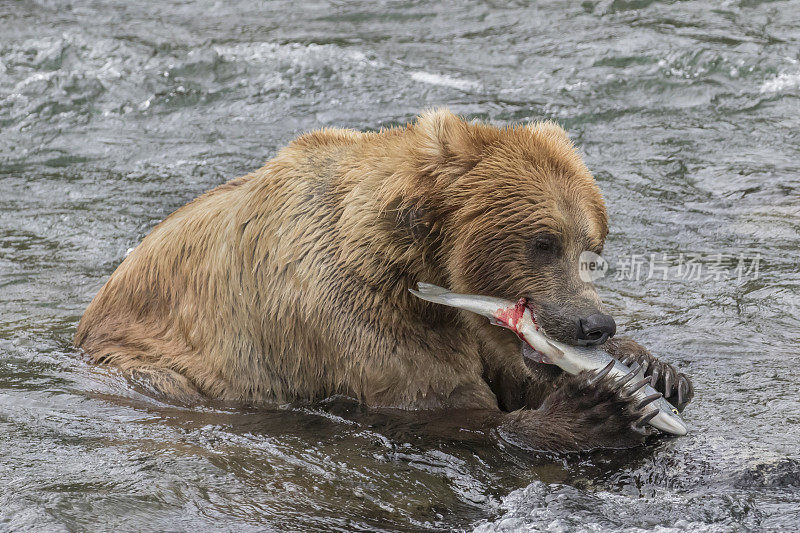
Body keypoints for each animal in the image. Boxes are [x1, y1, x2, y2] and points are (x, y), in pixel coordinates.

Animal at [72, 110, 692, 450]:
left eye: (591, 248)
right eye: (544, 242)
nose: (594, 324)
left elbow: (513, 374)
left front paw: (654, 369)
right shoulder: (351, 312)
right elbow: (440, 407)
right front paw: (595, 410)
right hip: (155, 366)